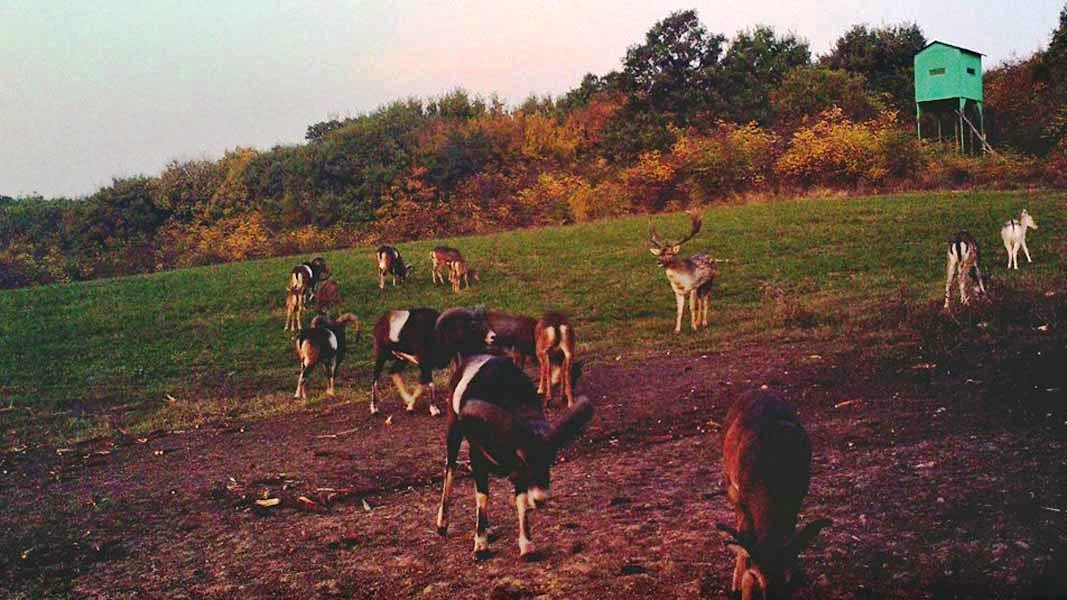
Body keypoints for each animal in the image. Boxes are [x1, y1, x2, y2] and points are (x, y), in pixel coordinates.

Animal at [435, 354, 593, 560]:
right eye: (525, 459)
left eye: (550, 459)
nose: (541, 499)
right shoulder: (480, 461)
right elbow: (482, 498)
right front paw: (481, 547)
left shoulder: (519, 476)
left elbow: (520, 501)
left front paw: (527, 547)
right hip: (453, 435)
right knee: (450, 469)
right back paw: (442, 524)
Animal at [717, 390, 830, 600]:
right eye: (757, 577)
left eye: (788, 582)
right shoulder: (743, 500)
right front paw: (739, 588)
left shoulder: (797, 498)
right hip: (729, 482)